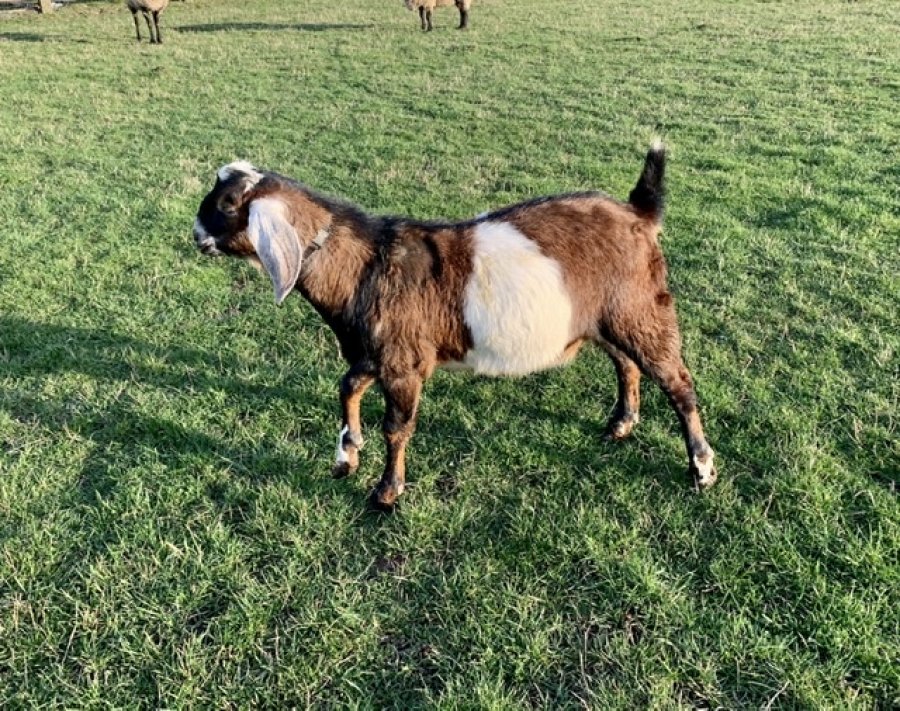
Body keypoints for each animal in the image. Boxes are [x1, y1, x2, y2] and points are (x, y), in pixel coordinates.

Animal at [192, 145, 717, 511]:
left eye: (229, 202)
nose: (196, 235)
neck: (365, 263)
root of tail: (638, 212)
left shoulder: (403, 365)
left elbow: (396, 427)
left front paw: (386, 493)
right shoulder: (379, 353)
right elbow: (347, 387)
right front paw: (346, 456)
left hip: (641, 310)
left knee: (679, 383)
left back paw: (701, 468)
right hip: (609, 319)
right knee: (627, 366)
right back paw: (621, 425)